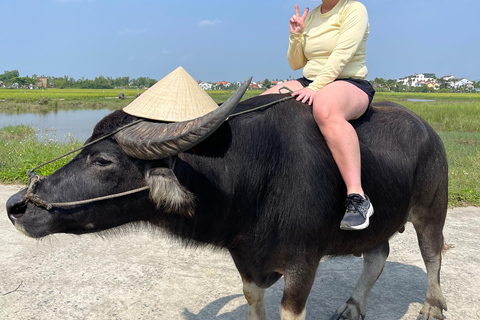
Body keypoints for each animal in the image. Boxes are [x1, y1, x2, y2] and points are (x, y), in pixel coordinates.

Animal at [5, 83, 448, 320]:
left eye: (102, 160)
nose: (16, 206)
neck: (254, 177)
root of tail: (429, 132)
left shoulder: (304, 261)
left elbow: (290, 308)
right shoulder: (246, 260)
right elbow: (253, 299)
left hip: (431, 208)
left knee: (432, 253)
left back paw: (432, 305)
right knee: (378, 254)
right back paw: (354, 306)